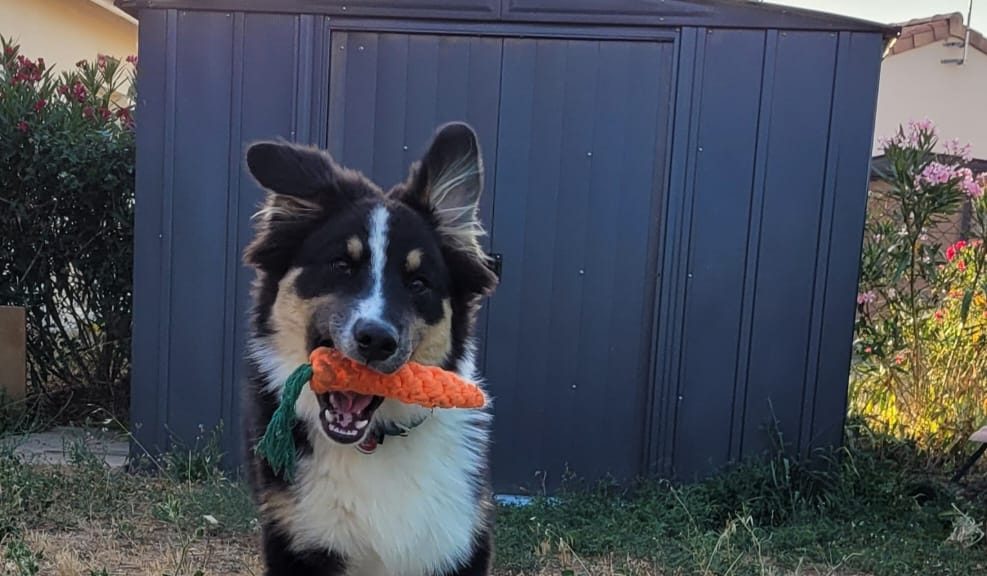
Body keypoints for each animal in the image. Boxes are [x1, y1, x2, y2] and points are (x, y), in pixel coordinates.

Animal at [240, 122, 502, 576]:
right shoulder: (298, 541)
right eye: (341, 265)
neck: (373, 443)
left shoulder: (456, 542)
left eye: (418, 283)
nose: (376, 340)